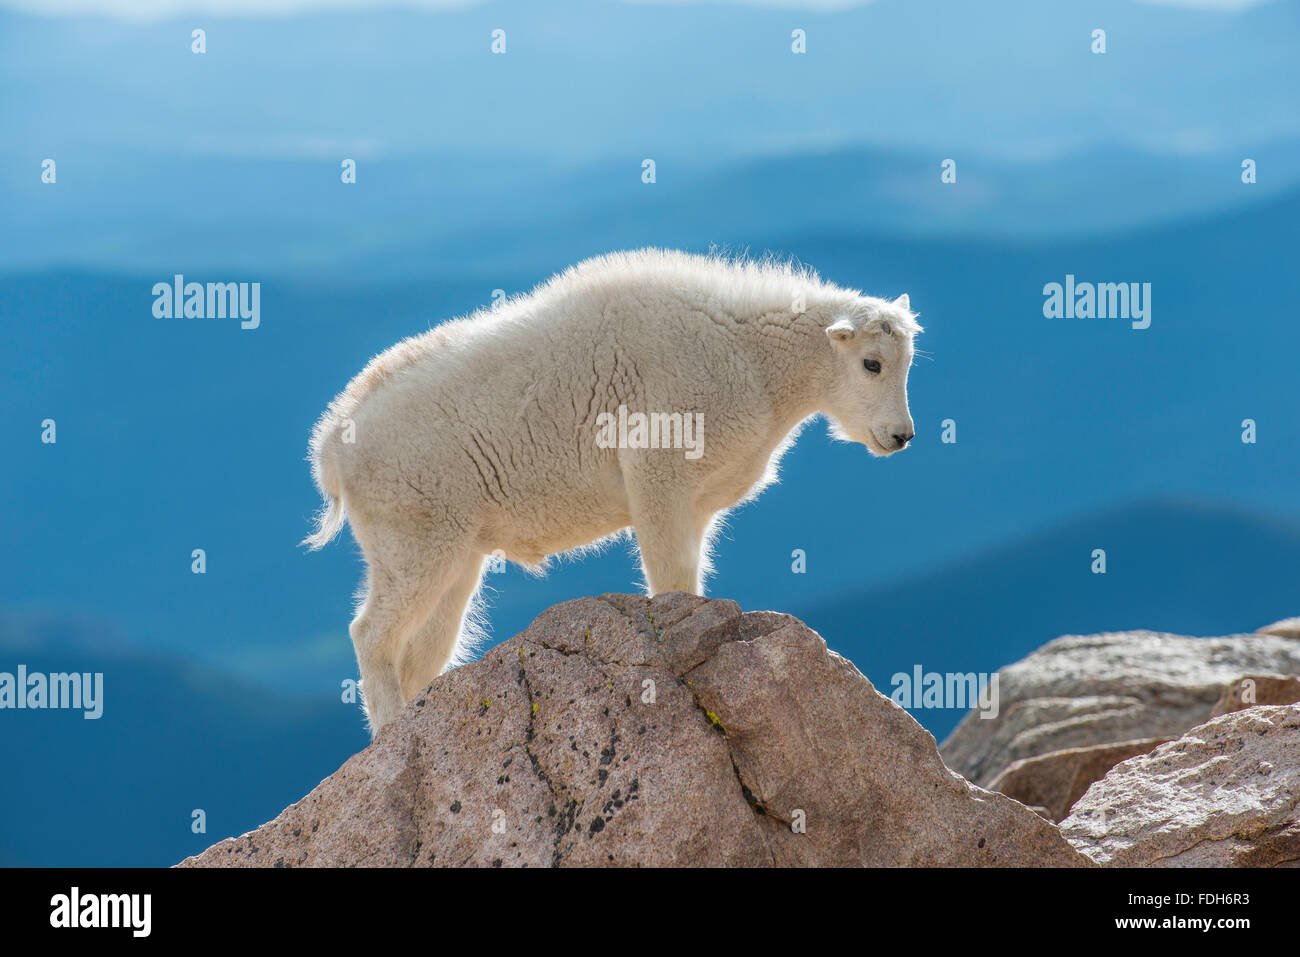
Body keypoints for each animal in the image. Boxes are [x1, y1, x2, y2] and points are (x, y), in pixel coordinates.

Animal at [304, 248, 920, 733]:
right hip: (414, 538)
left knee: (421, 654)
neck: (753, 358)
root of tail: (332, 447)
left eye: (907, 363)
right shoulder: (657, 473)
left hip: (457, 550)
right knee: (371, 634)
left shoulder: (697, 502)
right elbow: (670, 578)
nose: (901, 436)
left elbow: (689, 577)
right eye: (871, 363)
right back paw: (388, 731)